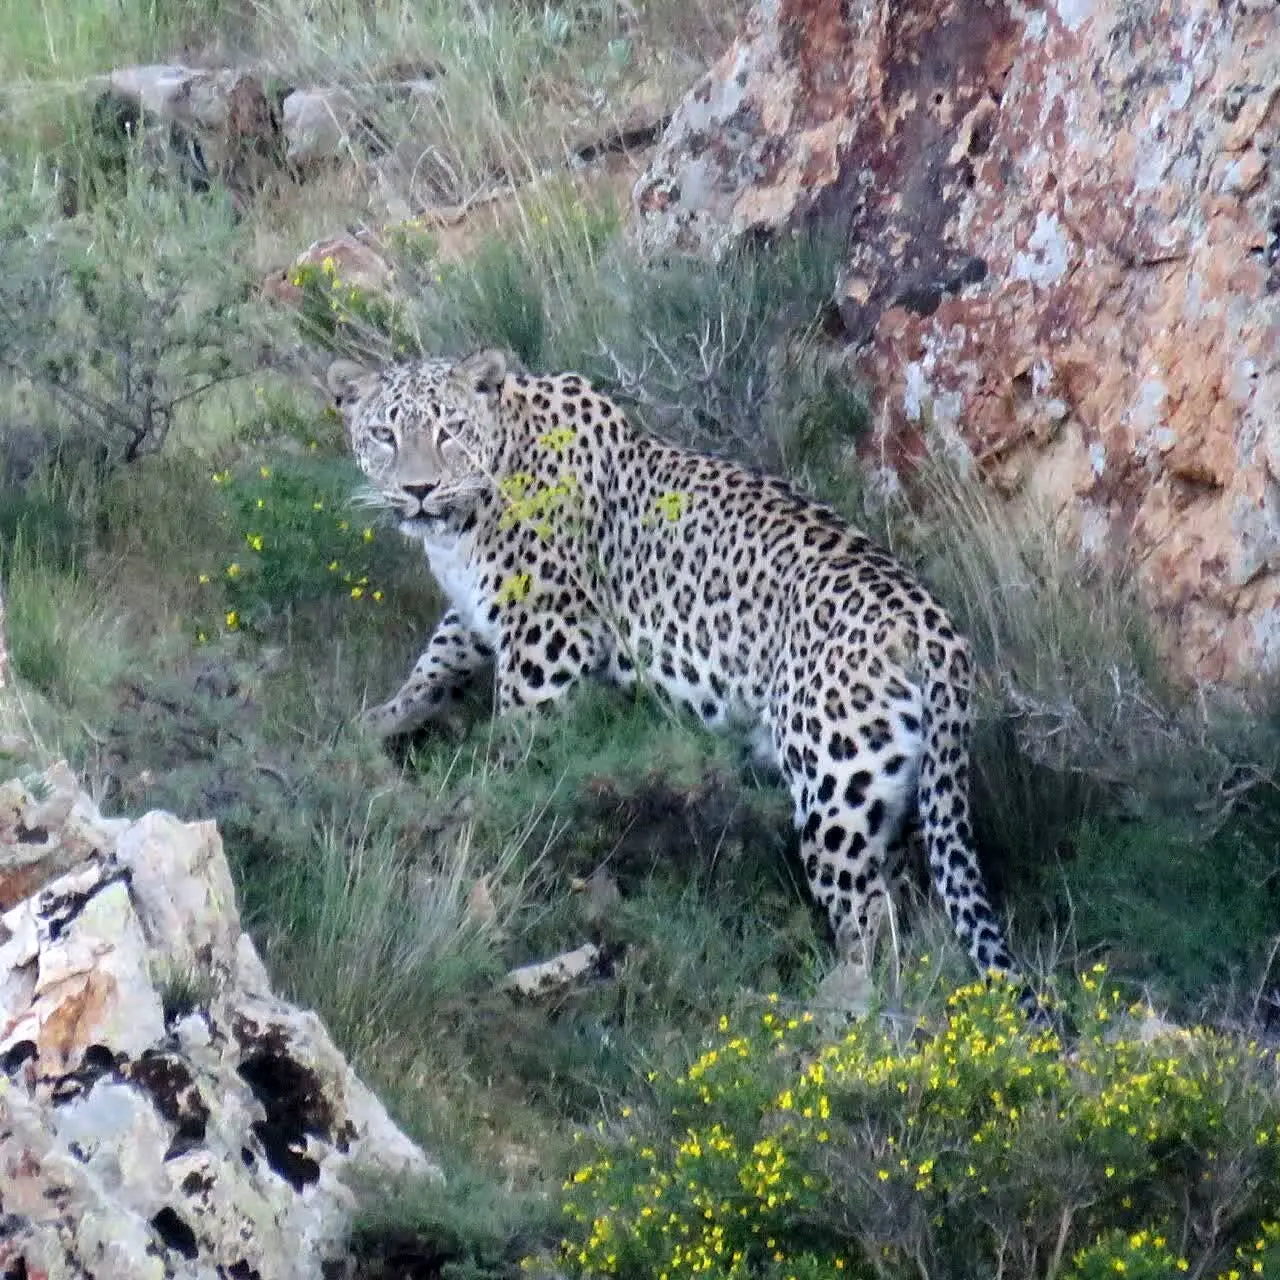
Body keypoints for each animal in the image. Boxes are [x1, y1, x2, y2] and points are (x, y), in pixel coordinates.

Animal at [327, 345, 1018, 983]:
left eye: (450, 430)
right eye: (384, 434)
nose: (418, 490)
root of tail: (936, 630)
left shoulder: (548, 636)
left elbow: (516, 739)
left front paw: (486, 803)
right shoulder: (479, 614)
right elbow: (435, 663)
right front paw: (374, 724)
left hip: (836, 784)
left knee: (869, 912)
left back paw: (844, 1000)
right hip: (887, 789)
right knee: (904, 898)